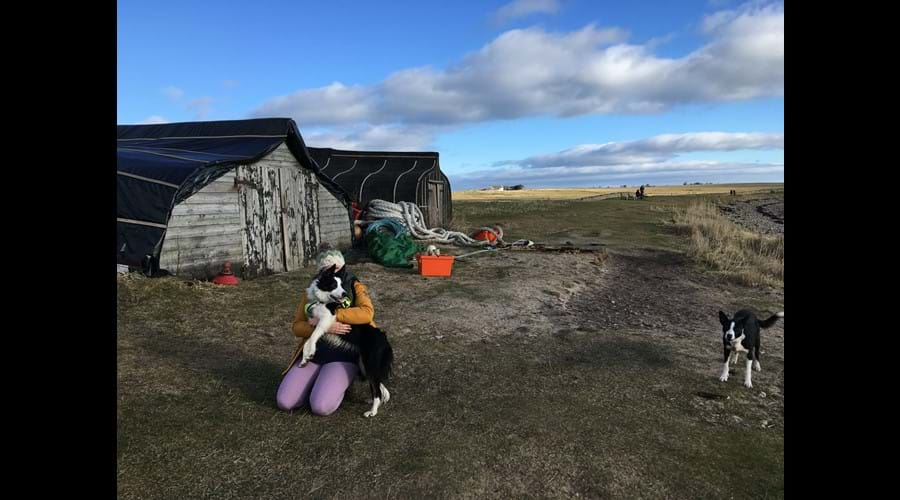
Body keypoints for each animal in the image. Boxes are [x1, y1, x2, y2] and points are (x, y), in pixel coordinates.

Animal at [302, 266, 394, 418]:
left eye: (341, 284)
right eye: (334, 284)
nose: (344, 293)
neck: (322, 300)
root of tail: (384, 339)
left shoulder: (326, 320)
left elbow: (311, 338)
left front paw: (308, 354)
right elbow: (307, 339)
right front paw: (305, 358)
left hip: (370, 363)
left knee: (376, 387)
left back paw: (373, 411)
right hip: (363, 364)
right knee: (376, 383)